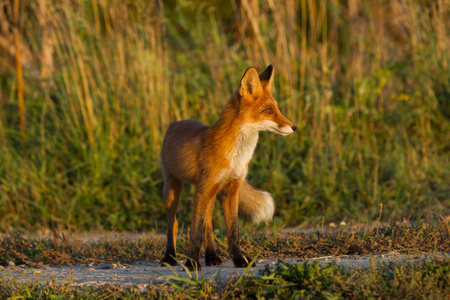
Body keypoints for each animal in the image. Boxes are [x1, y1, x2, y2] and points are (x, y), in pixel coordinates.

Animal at [160, 65, 298, 270]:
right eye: (268, 110)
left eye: (277, 109)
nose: (294, 127)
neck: (236, 157)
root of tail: (175, 123)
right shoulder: (204, 189)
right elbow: (195, 232)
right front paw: (192, 263)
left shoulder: (232, 188)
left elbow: (233, 231)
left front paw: (240, 259)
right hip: (173, 186)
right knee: (174, 223)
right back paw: (169, 257)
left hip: (210, 193)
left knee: (208, 223)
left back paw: (211, 256)